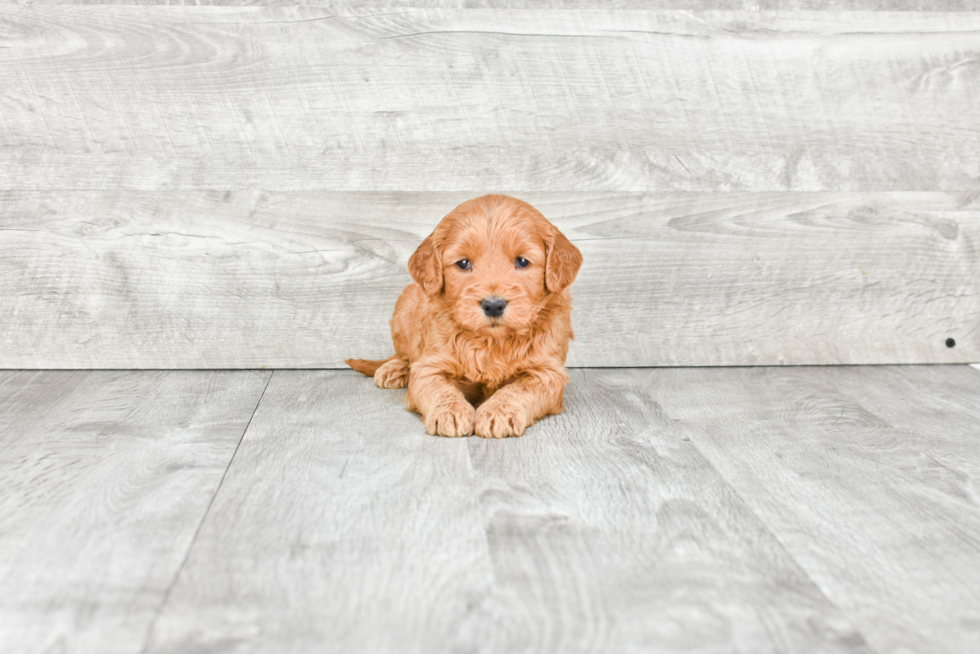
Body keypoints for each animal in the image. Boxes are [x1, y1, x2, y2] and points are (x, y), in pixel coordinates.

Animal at [346, 195, 580, 440]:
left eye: (523, 262)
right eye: (464, 263)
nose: (493, 305)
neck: (491, 341)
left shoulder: (548, 373)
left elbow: (518, 389)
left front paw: (498, 412)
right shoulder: (430, 367)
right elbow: (438, 387)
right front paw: (450, 412)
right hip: (404, 307)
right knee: (405, 354)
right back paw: (394, 369)